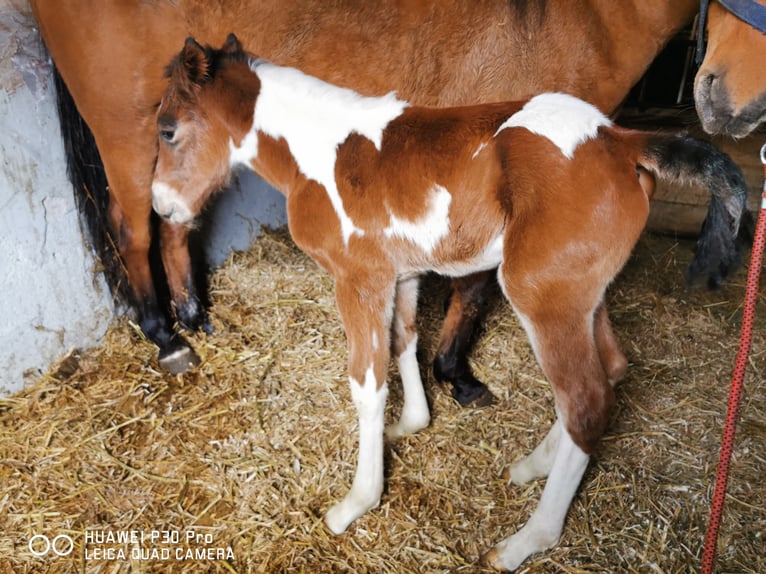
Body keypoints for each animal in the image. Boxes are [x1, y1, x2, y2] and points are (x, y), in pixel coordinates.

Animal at [31, 0, 704, 404]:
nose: (718, 94)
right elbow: (474, 285)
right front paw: (455, 373)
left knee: (174, 221)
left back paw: (195, 315)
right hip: (129, 130)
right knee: (138, 225)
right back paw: (165, 336)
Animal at [151, 35, 748, 571]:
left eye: (168, 130)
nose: (160, 206)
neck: (318, 151)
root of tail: (620, 140)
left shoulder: (359, 279)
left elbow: (366, 382)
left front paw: (356, 502)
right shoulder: (403, 273)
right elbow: (405, 341)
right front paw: (410, 424)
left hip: (540, 293)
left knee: (586, 399)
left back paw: (525, 541)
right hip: (582, 294)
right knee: (612, 370)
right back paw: (533, 465)